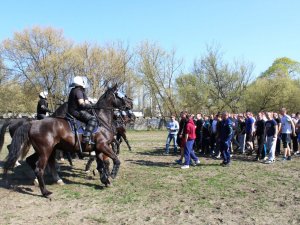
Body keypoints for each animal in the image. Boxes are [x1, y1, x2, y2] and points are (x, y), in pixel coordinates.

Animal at [3, 84, 132, 197]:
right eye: (120, 94)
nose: (130, 104)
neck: (102, 120)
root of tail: (32, 124)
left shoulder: (99, 149)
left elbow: (102, 164)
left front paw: (105, 180)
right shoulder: (103, 146)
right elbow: (116, 159)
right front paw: (112, 174)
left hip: (45, 150)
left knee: (31, 160)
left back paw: (45, 180)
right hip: (45, 151)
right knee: (39, 168)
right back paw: (45, 192)